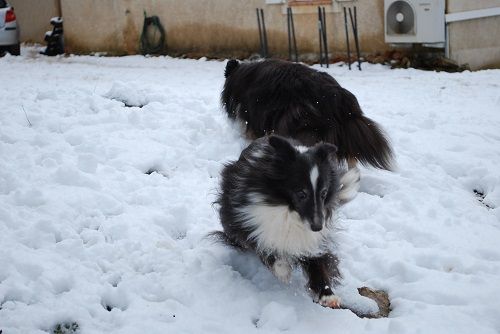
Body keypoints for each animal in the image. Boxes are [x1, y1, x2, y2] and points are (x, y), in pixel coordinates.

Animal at [213, 135, 362, 308]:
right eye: (301, 193)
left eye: (324, 193)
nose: (317, 227)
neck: (289, 210)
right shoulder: (253, 224)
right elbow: (266, 249)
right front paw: (283, 271)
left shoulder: (314, 238)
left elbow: (319, 261)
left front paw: (327, 295)